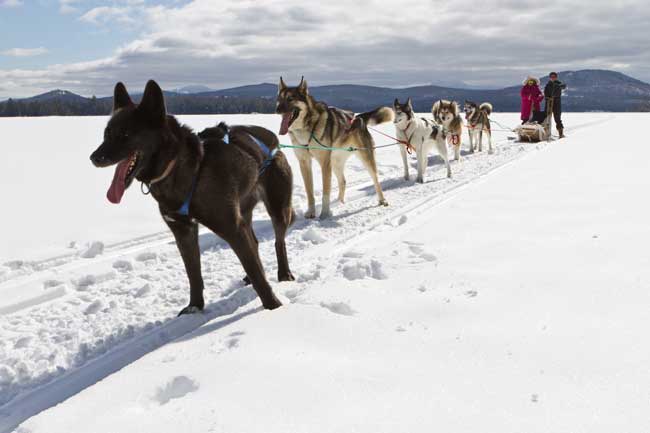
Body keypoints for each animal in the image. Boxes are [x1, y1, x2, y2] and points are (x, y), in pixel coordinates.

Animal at [90, 80, 294, 314]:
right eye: (106, 133)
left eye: (125, 134)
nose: (94, 158)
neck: (181, 168)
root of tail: (273, 141)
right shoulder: (183, 231)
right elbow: (193, 273)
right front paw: (195, 307)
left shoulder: (232, 228)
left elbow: (255, 271)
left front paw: (273, 307)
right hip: (245, 212)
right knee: (256, 244)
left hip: (278, 209)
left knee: (278, 242)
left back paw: (284, 274)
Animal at [276, 76, 392, 218]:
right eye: (279, 99)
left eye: (290, 99)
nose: (277, 109)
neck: (307, 128)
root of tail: (358, 117)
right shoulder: (304, 162)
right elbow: (309, 192)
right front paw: (311, 212)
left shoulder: (324, 163)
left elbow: (326, 191)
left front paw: (325, 214)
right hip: (335, 162)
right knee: (343, 181)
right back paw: (339, 203)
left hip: (365, 158)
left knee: (375, 179)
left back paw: (382, 200)